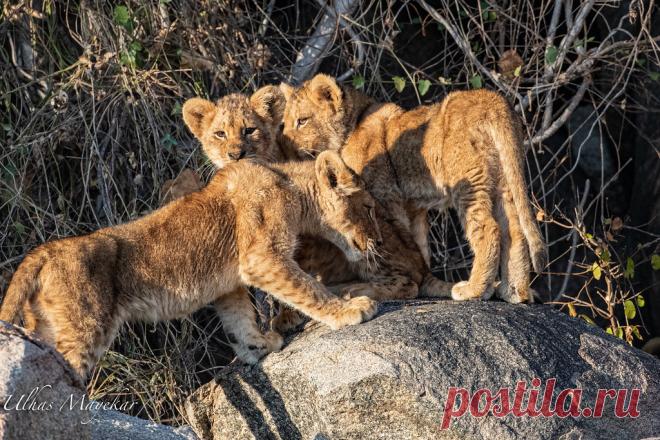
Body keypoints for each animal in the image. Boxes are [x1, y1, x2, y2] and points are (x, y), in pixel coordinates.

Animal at [0, 150, 381, 380]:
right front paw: (350, 310)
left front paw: (259, 346)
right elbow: (307, 287)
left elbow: (239, 320)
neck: (290, 186)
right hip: (85, 327)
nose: (377, 241)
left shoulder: (231, 284)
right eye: (369, 207)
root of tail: (43, 251)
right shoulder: (261, 258)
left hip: (44, 326)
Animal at [279, 74, 547, 303]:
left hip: (468, 180)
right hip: (503, 180)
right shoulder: (413, 206)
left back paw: (474, 289)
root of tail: (493, 101)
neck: (352, 124)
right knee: (514, 230)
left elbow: (392, 243)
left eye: (302, 121)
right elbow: (418, 245)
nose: (284, 146)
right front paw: (426, 282)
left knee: (488, 228)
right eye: (285, 124)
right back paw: (514, 292)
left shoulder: (384, 195)